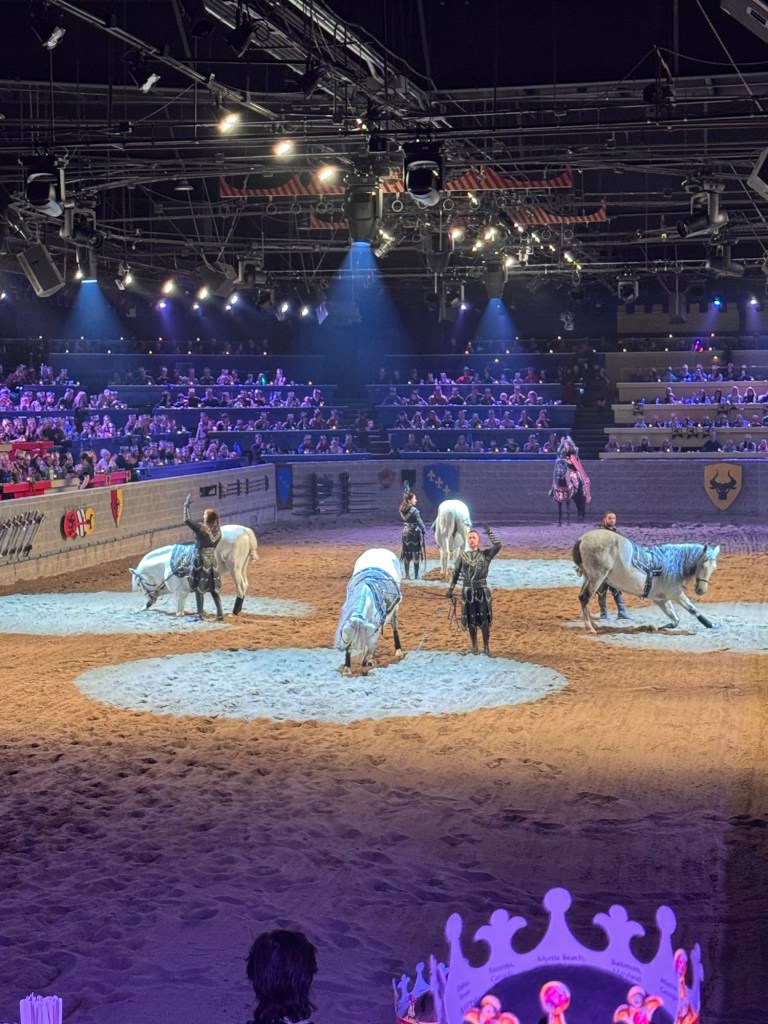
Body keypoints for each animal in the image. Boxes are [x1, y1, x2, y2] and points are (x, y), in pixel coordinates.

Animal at [130, 524, 258, 616]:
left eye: (139, 584)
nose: (149, 601)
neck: (166, 564)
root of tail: (245, 530)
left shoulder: (180, 592)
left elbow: (179, 612)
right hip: (242, 567)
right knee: (245, 584)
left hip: (234, 568)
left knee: (241, 587)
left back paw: (234, 612)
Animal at [573, 529, 720, 633]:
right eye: (703, 565)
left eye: (713, 567)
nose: (701, 590)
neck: (670, 564)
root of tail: (583, 538)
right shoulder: (675, 594)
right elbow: (692, 609)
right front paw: (711, 624)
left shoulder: (661, 599)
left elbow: (675, 619)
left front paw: (655, 627)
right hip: (597, 577)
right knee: (585, 597)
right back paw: (590, 627)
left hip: (588, 577)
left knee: (583, 597)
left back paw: (593, 624)